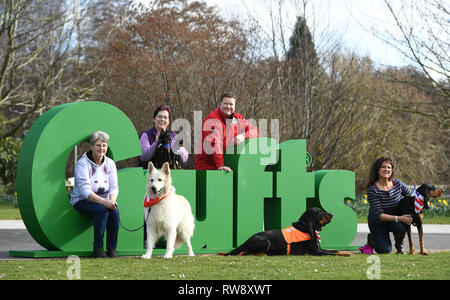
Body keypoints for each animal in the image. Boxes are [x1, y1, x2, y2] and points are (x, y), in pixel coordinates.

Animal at [223, 207, 354, 256]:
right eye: (319, 212)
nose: (332, 214)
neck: (305, 226)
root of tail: (246, 241)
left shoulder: (320, 248)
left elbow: (334, 249)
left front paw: (347, 252)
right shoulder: (316, 251)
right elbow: (334, 252)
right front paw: (347, 253)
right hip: (266, 242)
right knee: (245, 252)